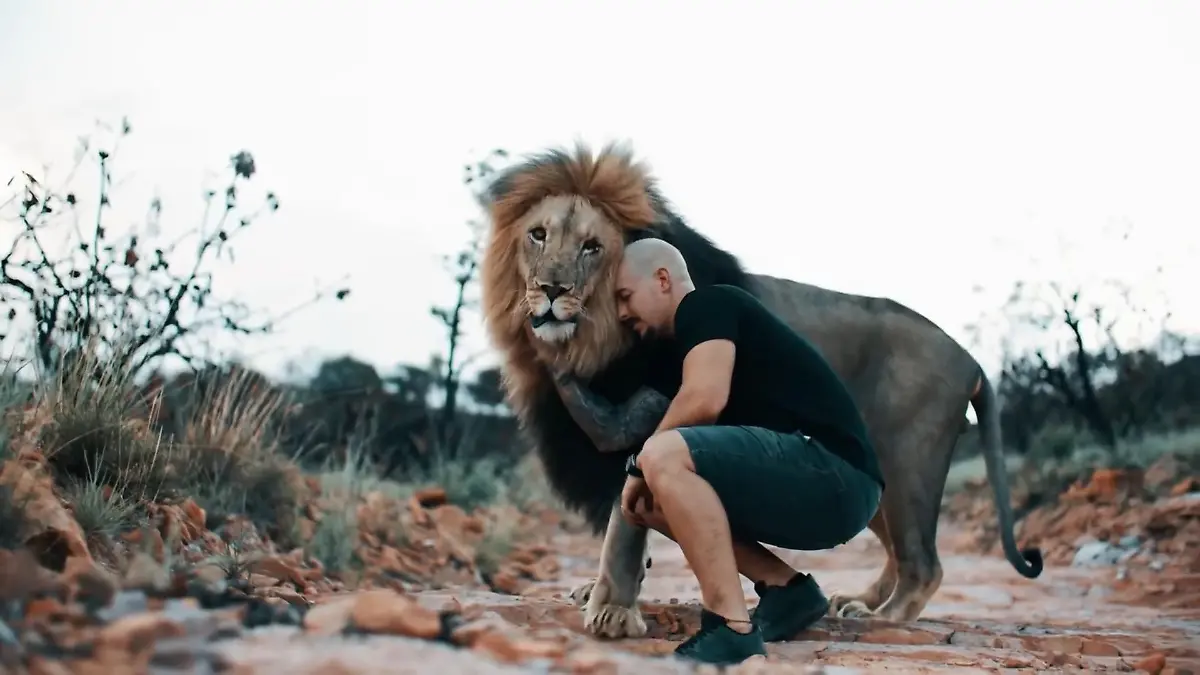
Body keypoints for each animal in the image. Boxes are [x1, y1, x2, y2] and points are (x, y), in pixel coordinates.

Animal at [478, 143, 1042, 640]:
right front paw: (594, 593)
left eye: (592, 247)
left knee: (924, 561)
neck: (602, 340)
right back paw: (858, 601)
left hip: (907, 463)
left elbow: (625, 526)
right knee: (899, 553)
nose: (552, 291)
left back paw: (882, 617)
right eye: (538, 236)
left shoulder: (654, 412)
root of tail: (970, 357)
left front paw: (614, 611)